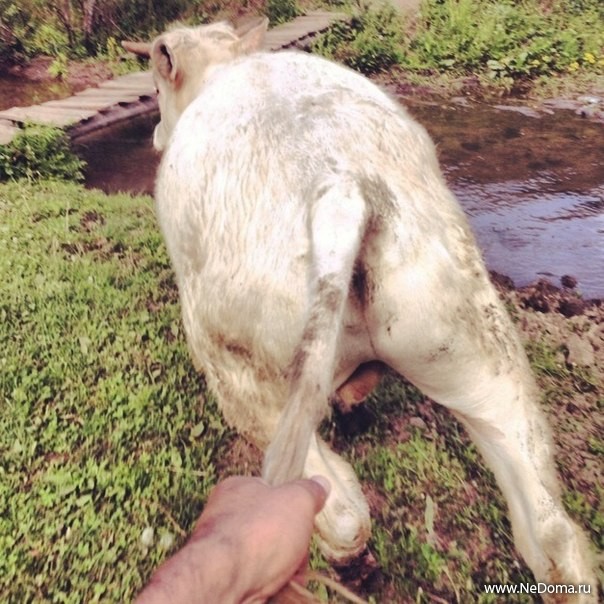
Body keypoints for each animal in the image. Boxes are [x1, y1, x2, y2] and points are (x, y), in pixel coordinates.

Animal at [123, 17, 596, 601]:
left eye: (157, 85)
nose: (154, 135)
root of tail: (338, 186)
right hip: (466, 334)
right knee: (551, 530)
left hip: (239, 367)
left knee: (342, 511)